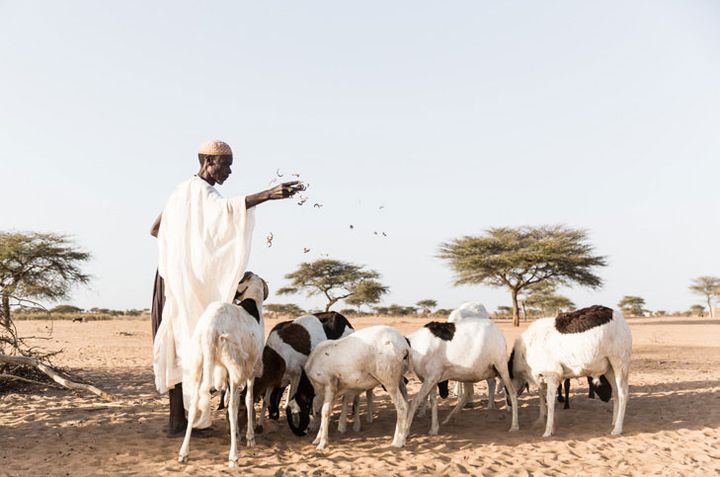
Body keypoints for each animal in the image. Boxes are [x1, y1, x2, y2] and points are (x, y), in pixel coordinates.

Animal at [179, 272, 268, 464]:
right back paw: (233, 456)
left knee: (194, 403)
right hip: (234, 365)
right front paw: (250, 438)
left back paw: (183, 452)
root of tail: (210, 328)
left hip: (200, 363)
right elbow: (248, 399)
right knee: (233, 407)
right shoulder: (250, 369)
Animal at [510, 304, 632, 436]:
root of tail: (620, 318)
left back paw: (618, 429)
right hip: (609, 368)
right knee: (616, 392)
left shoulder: (552, 374)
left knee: (623, 393)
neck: (524, 350)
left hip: (620, 362)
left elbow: (550, 400)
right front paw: (550, 426)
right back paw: (614, 422)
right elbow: (543, 397)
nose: (508, 403)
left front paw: (547, 431)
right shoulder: (542, 377)